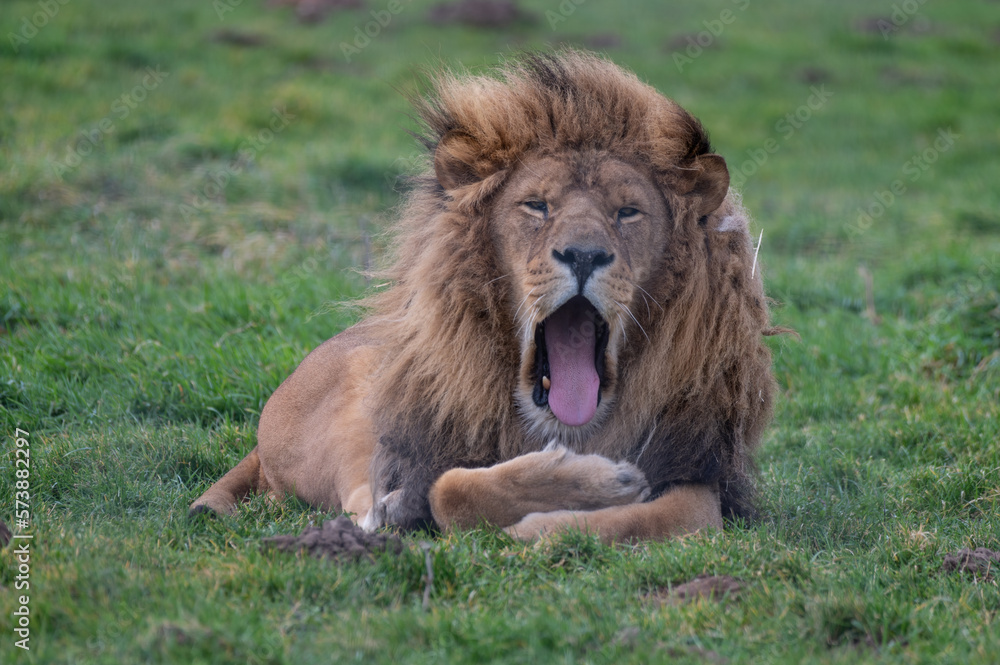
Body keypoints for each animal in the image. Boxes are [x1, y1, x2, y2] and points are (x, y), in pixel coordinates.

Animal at [190, 50, 779, 543]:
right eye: (537, 205)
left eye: (627, 212)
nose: (584, 255)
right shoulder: (412, 463)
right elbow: (448, 491)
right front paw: (578, 491)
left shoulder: (696, 473)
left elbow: (662, 514)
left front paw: (563, 523)